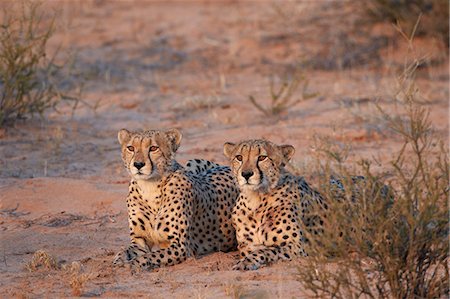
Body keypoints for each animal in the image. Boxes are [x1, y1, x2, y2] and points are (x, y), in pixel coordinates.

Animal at [113, 129, 239, 272]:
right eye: (131, 148)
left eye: (153, 148)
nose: (138, 164)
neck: (149, 187)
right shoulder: (140, 240)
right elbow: (125, 251)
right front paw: (119, 260)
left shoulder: (180, 246)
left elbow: (151, 256)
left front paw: (132, 264)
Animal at [223, 139, 326, 270]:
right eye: (239, 157)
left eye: (262, 157)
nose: (246, 174)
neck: (256, 200)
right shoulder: (246, 246)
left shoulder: (298, 246)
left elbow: (266, 250)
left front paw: (245, 263)